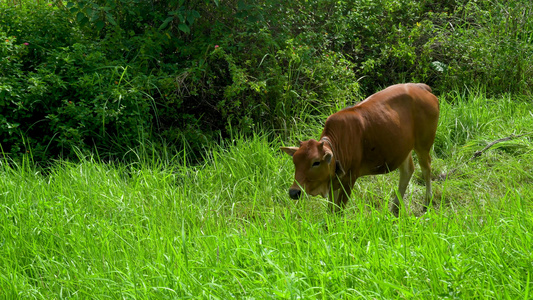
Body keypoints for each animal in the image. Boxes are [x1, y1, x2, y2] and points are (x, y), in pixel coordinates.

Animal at [280, 83, 438, 216]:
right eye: (295, 162)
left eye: (316, 162)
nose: (294, 192)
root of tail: (421, 87)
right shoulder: (333, 182)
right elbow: (331, 209)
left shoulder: (350, 178)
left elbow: (338, 210)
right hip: (403, 148)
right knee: (407, 171)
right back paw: (394, 208)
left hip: (423, 144)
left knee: (426, 169)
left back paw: (427, 202)